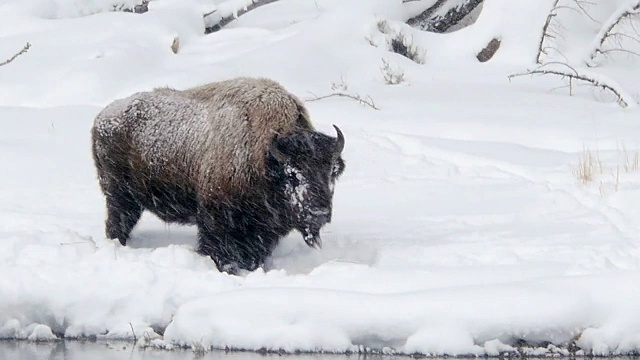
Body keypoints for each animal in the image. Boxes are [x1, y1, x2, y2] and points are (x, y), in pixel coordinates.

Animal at [90, 76, 344, 272]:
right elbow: (216, 247)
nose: (319, 213)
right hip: (121, 197)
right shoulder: (217, 217)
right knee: (117, 224)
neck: (265, 158)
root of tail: (101, 118)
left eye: (332, 172)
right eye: (292, 175)